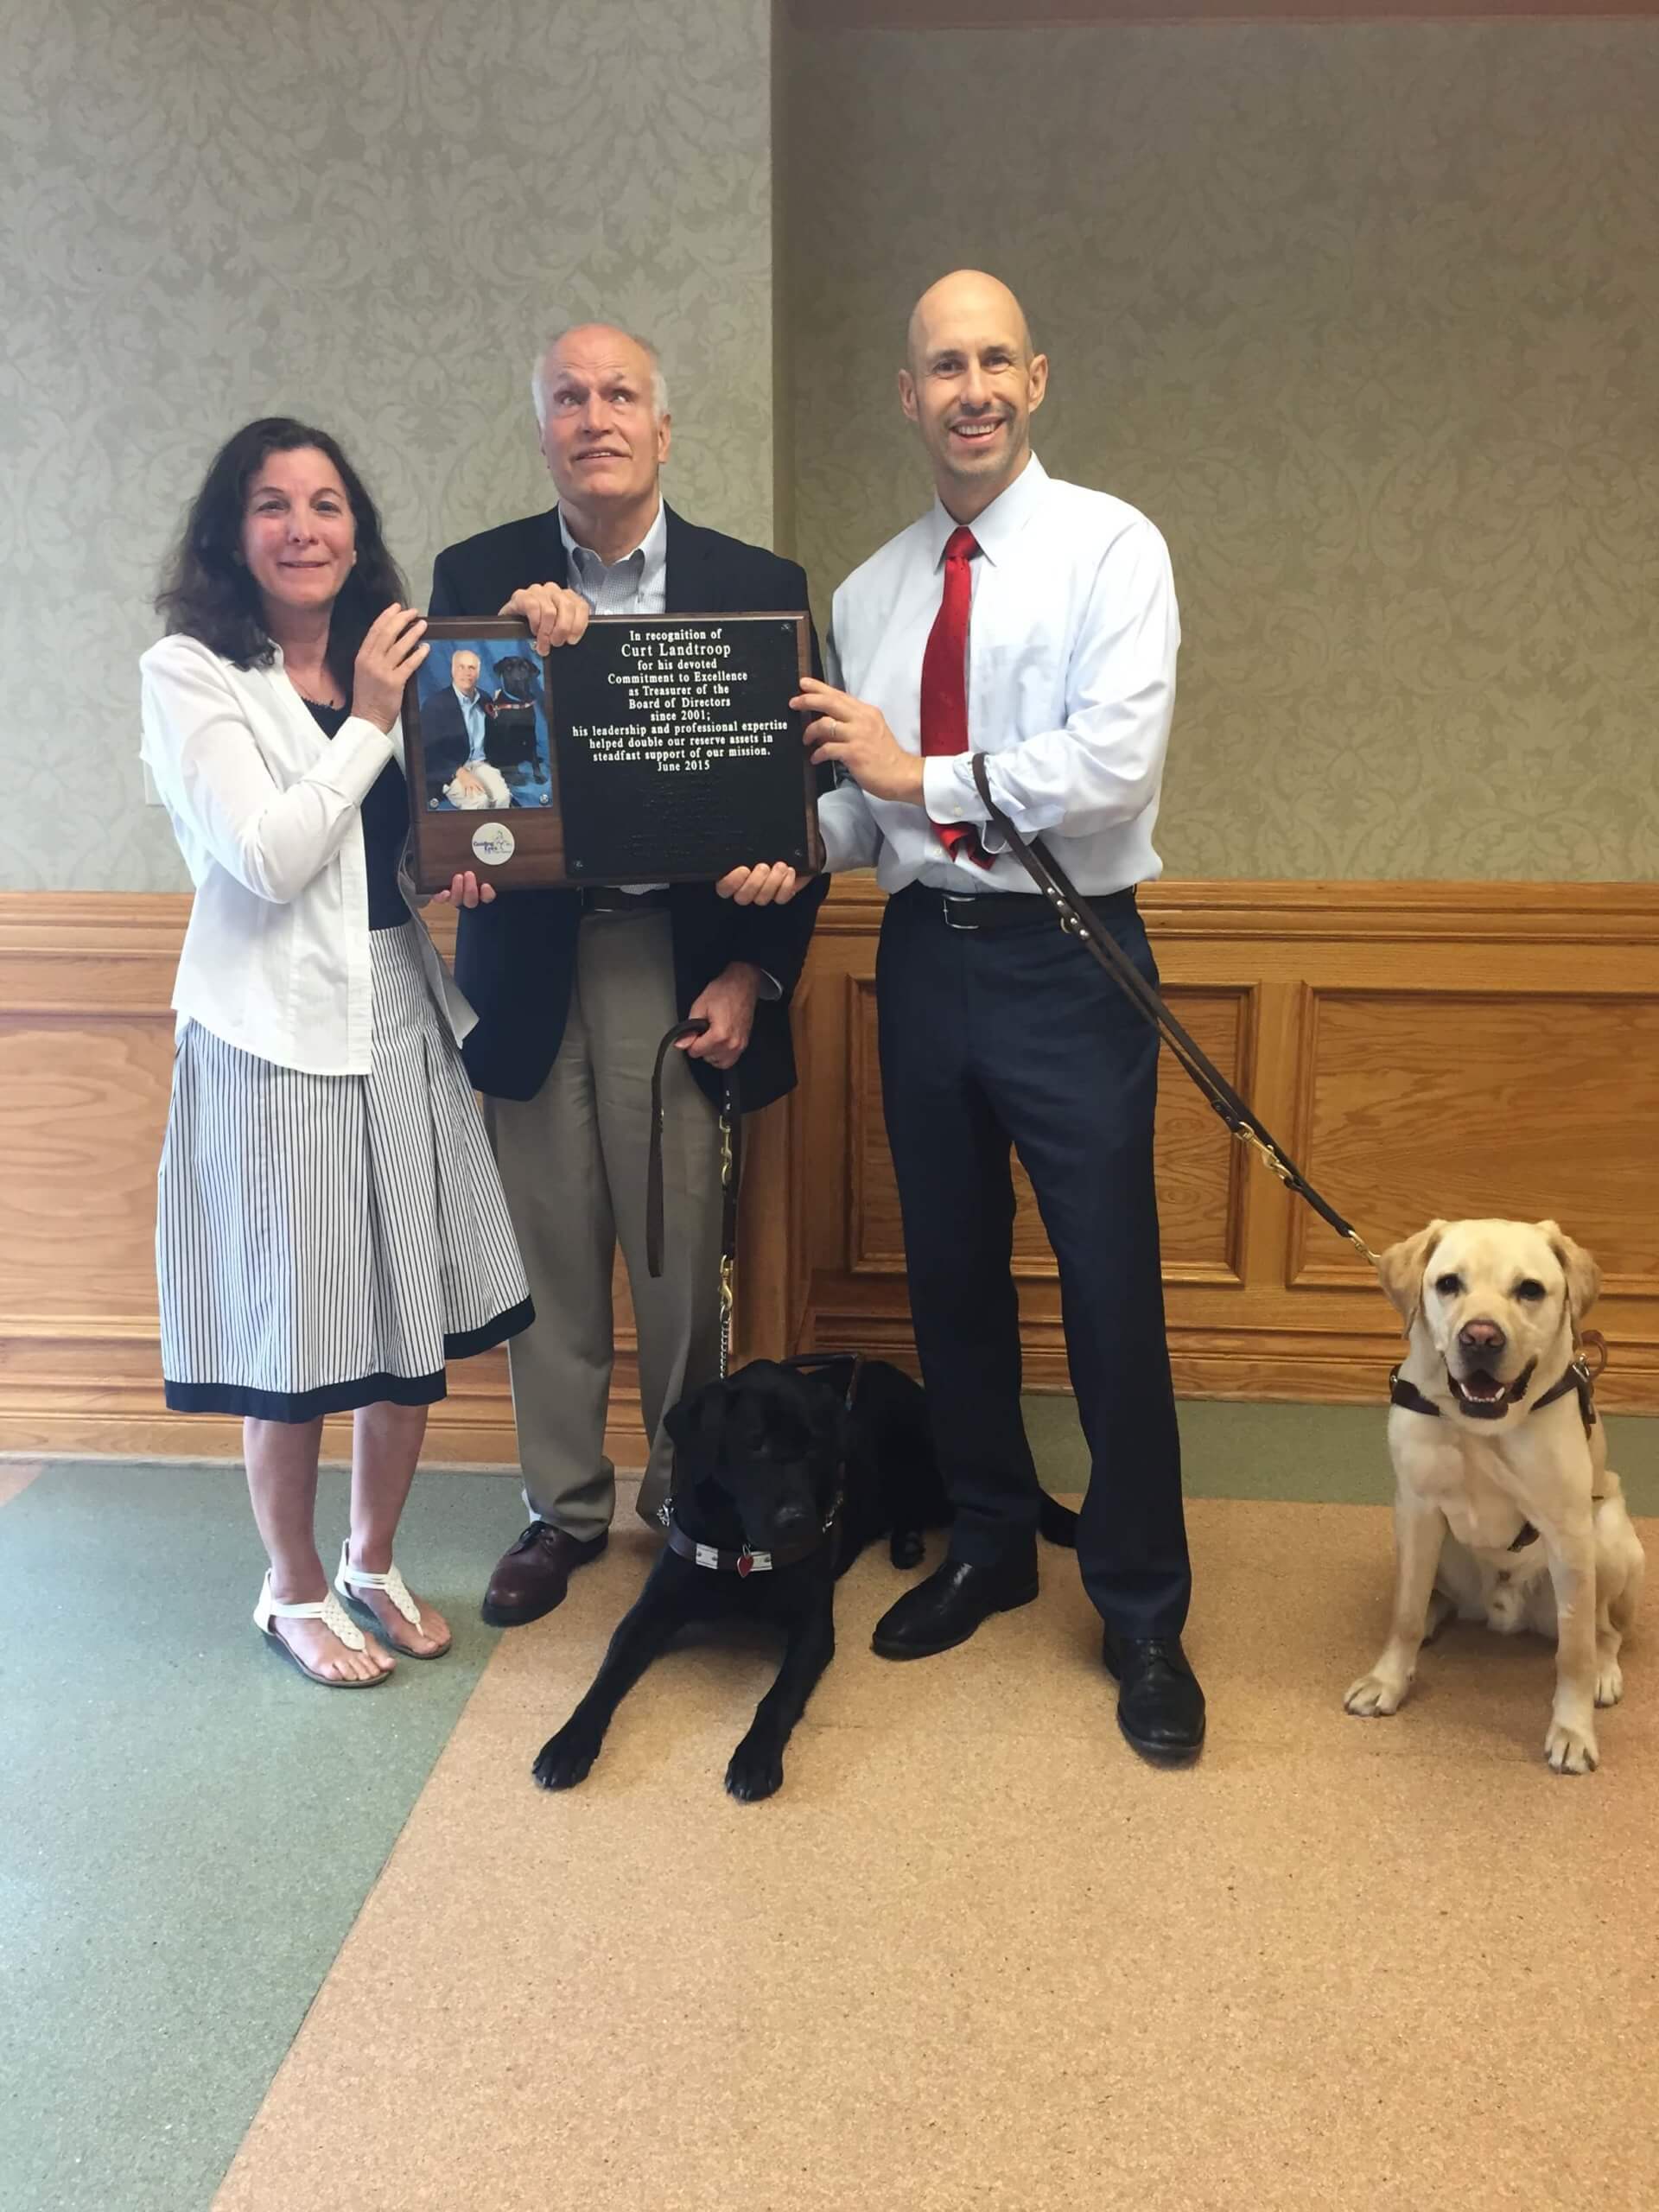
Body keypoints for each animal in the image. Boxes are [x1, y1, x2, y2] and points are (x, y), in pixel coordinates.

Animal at [528, 1353, 1079, 1804]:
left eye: (813, 1448)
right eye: (754, 1446)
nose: (797, 1520)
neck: (742, 1545)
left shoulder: (814, 1629)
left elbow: (779, 1697)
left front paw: (754, 1759)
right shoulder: (649, 1612)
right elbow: (606, 1678)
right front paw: (568, 1743)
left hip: (934, 1475)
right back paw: (904, 1544)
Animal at [1353, 1221, 1654, 1770]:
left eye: (1530, 1290)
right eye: (1448, 1284)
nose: (1480, 1337)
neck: (1478, 1424)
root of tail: (1501, 1608)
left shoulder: (1568, 1531)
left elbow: (1574, 1652)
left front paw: (1573, 1729)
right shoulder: (1417, 1508)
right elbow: (1404, 1613)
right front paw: (1388, 1679)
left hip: (1607, 1537)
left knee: (1605, 1629)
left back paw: (1604, 1670)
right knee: (1433, 1597)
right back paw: (1435, 1614)